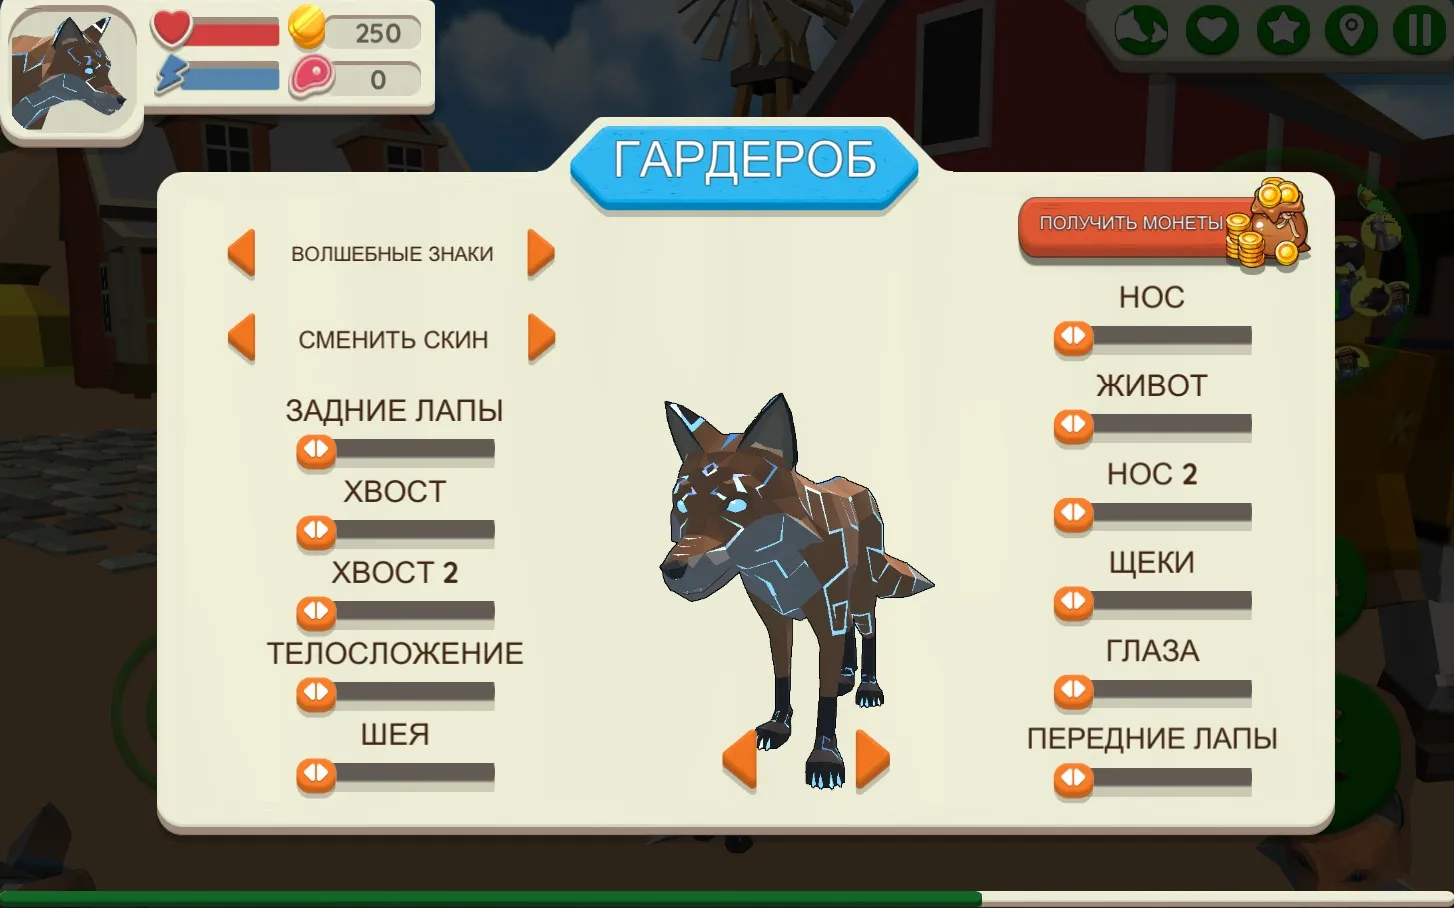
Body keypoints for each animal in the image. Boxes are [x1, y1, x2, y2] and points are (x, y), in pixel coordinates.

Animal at [660, 393, 933, 789]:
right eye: (681, 505)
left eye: (735, 504)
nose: (672, 572)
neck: (780, 571)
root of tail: (858, 488)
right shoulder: (776, 620)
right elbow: (782, 678)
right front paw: (779, 727)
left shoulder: (827, 614)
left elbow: (824, 700)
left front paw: (825, 759)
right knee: (849, 635)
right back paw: (846, 676)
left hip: (861, 597)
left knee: (868, 631)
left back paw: (866, 686)